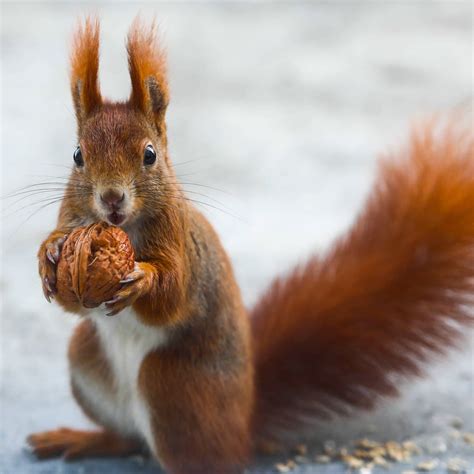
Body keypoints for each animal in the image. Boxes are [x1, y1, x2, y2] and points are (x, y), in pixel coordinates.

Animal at [26, 17, 474, 474]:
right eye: (77, 155)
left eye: (150, 155)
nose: (112, 198)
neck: (124, 229)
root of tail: (245, 419)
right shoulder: (75, 226)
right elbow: (72, 299)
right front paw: (49, 257)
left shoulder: (181, 244)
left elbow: (174, 295)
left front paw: (140, 278)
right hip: (86, 360)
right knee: (129, 438)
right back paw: (83, 438)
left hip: (173, 386)